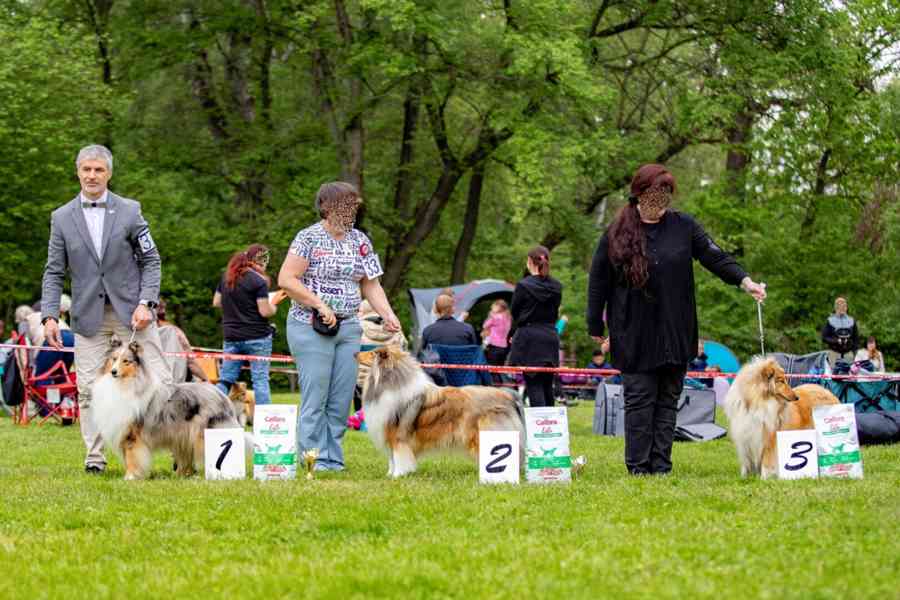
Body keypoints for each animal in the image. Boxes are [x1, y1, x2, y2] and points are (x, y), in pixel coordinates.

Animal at [92, 340, 250, 480]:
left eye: (126, 361)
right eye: (114, 359)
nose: (113, 372)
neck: (124, 385)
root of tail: (221, 394)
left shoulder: (132, 435)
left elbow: (132, 458)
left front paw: (130, 477)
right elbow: (127, 457)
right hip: (185, 437)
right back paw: (182, 475)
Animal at [356, 346, 524, 478]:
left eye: (372, 353)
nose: (355, 353)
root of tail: (510, 396)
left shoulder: (397, 435)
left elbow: (398, 457)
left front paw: (398, 475)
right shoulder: (389, 433)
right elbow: (391, 458)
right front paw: (390, 475)